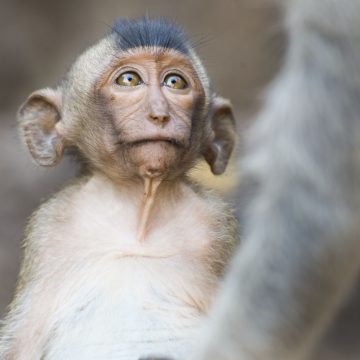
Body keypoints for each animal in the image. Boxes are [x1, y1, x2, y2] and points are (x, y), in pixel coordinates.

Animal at [0, 17, 239, 360]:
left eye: (175, 82)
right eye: (129, 80)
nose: (159, 113)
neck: (138, 217)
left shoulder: (217, 228)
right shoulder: (48, 229)